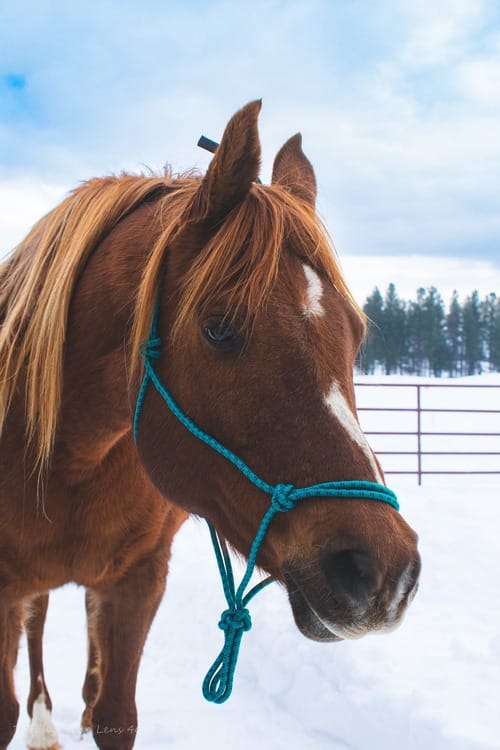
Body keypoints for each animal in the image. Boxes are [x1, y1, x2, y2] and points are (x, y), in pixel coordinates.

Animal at [0, 100, 420, 750]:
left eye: (356, 335)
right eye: (219, 328)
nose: (385, 573)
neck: (77, 455)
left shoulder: (139, 583)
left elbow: (117, 713)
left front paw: (97, 709)